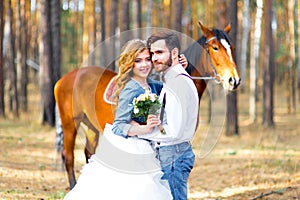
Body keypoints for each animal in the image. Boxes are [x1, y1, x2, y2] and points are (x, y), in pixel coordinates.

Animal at [54, 21, 241, 190]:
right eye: (215, 48)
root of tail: (64, 79)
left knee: (89, 153)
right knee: (68, 155)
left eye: (231, 47)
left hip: (91, 126)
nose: (234, 80)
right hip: (70, 123)